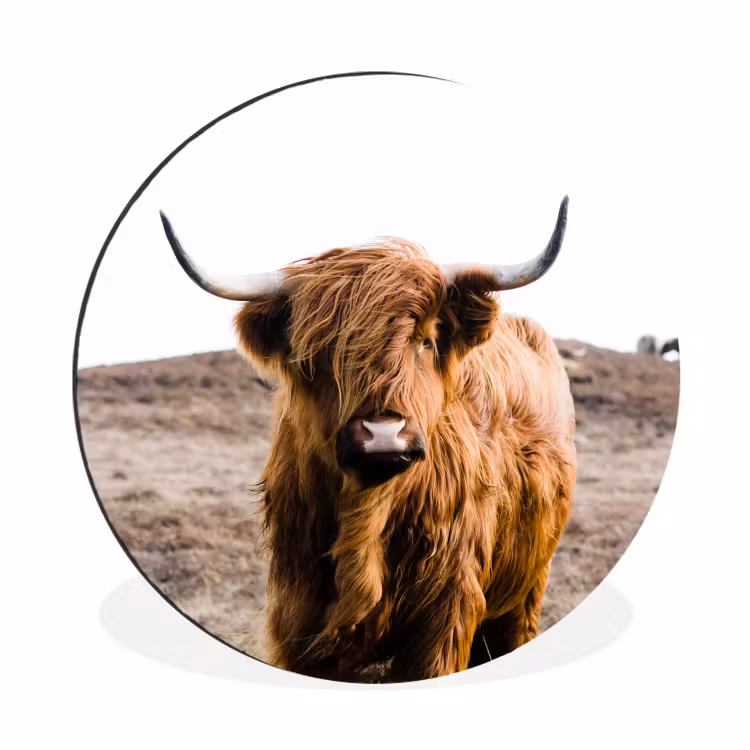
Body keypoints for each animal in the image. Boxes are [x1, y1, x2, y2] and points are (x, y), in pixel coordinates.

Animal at [159, 197, 576, 683]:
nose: (382, 435)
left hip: (527, 587)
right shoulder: (297, 614)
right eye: (316, 353)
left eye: (426, 340)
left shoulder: (445, 616)